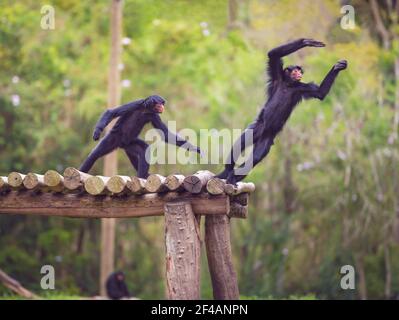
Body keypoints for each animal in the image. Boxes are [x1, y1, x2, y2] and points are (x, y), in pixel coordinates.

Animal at [217, 38, 348, 184]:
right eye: (295, 71)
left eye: (300, 72)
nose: (299, 74)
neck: (288, 84)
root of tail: (265, 131)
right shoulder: (277, 76)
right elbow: (273, 54)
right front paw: (307, 42)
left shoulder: (301, 88)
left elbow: (320, 92)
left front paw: (338, 67)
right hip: (259, 126)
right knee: (241, 142)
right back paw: (227, 171)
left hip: (268, 138)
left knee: (255, 157)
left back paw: (232, 177)